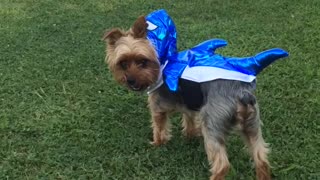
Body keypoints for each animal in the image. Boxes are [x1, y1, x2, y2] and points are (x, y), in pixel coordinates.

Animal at [104, 15, 272, 180]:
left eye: (143, 61)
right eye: (123, 63)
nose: (130, 80)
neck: (163, 61)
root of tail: (241, 93)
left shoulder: (157, 107)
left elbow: (159, 127)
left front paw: (157, 143)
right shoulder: (188, 105)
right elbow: (189, 119)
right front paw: (190, 135)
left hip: (213, 123)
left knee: (222, 165)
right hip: (252, 124)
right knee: (261, 158)